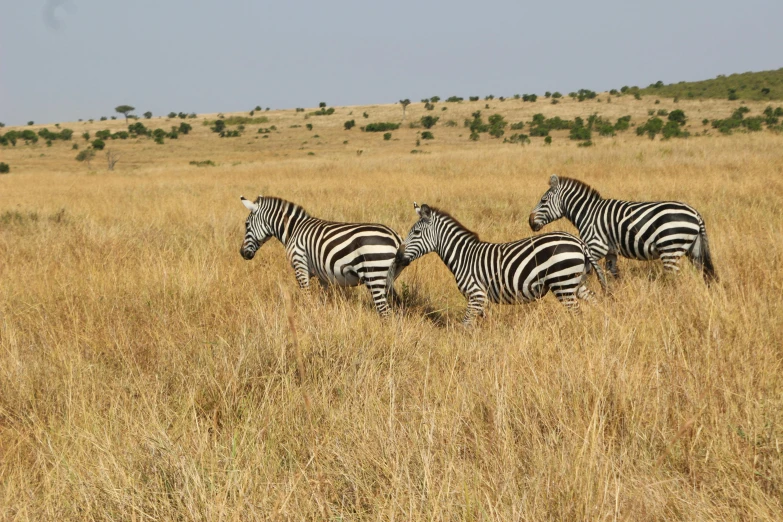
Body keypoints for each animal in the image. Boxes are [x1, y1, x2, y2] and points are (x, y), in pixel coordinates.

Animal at [240, 195, 404, 314]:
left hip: (373, 275)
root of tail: (395, 237)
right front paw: (321, 316)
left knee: (385, 311)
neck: (293, 230)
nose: (242, 253)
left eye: (246, 225)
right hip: (387, 279)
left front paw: (308, 316)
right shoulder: (323, 275)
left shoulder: (300, 265)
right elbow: (323, 299)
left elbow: (306, 296)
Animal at [396, 202, 608, 320]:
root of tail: (579, 243)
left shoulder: (476, 295)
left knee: (577, 312)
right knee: (595, 302)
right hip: (575, 282)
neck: (462, 255)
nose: (398, 256)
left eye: (416, 233)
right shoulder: (481, 300)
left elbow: (466, 326)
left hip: (562, 283)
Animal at [528, 175, 720, 282]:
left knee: (674, 278)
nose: (530, 222)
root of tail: (695, 213)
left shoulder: (596, 246)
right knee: (706, 274)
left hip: (670, 248)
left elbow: (587, 273)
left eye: (543, 200)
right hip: (694, 249)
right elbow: (613, 274)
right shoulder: (611, 251)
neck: (587, 212)